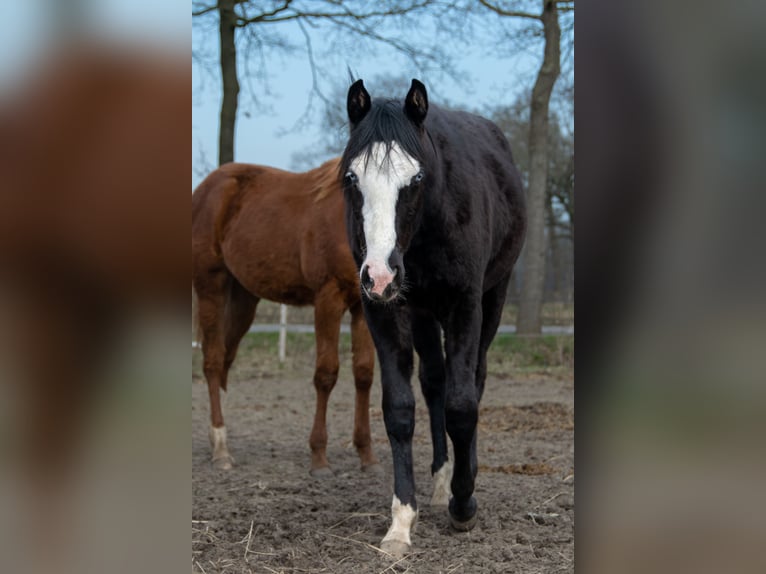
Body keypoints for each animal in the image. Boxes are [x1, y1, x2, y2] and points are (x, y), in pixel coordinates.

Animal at [192, 157, 379, 476]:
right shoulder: (328, 299)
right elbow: (326, 374)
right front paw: (319, 457)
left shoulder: (363, 307)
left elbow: (363, 373)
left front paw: (366, 455)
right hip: (211, 288)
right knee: (213, 361)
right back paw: (221, 449)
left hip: (243, 298)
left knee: (226, 359)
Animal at [340, 79, 526, 556]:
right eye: (352, 177)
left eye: (417, 177)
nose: (381, 273)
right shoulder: (383, 310)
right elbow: (400, 409)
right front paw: (402, 520)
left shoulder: (465, 305)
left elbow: (463, 405)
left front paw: (464, 505)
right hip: (422, 314)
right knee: (435, 383)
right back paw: (442, 481)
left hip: (493, 300)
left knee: (473, 379)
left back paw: (461, 482)